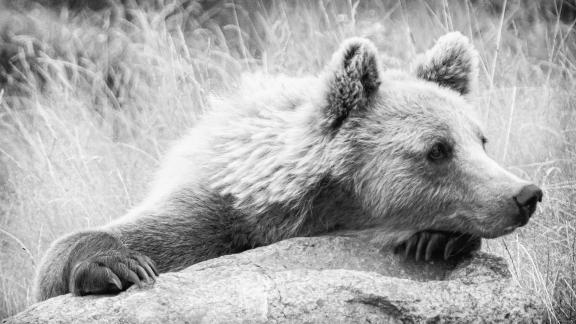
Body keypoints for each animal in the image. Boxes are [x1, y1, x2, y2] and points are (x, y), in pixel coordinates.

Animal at [33, 32, 544, 302]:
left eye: (480, 139)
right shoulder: (217, 214)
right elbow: (84, 251)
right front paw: (120, 264)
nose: (525, 195)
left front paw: (437, 239)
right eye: (437, 149)